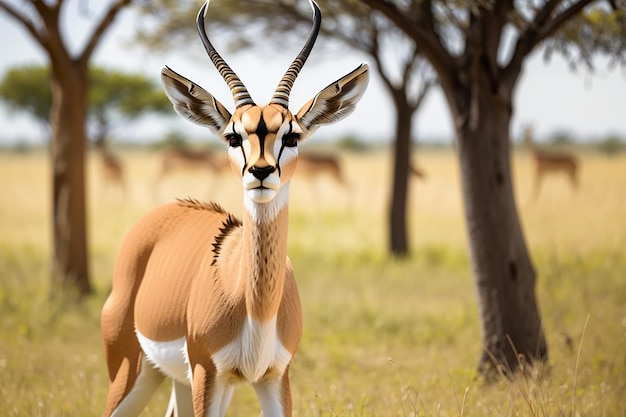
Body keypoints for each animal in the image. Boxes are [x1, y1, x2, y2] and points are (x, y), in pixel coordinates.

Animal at [100, 1, 368, 414]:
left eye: (292, 135)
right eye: (232, 135)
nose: (260, 171)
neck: (256, 309)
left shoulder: (276, 378)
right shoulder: (209, 374)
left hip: (177, 379)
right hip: (132, 369)